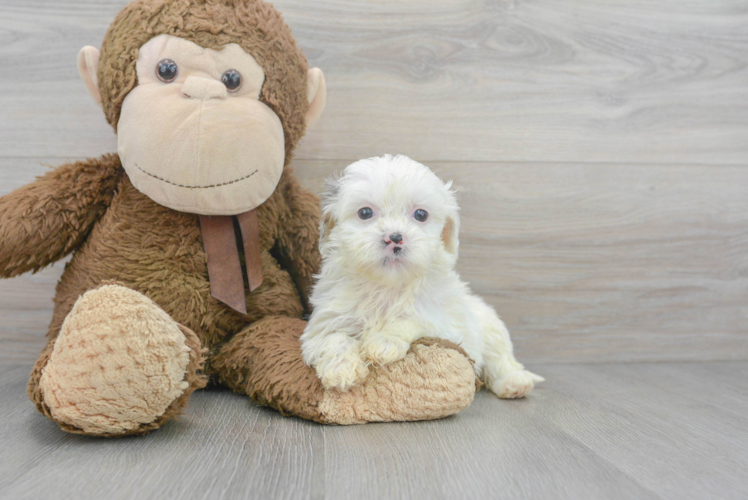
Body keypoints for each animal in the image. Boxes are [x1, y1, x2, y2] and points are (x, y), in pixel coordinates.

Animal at [300, 156, 544, 398]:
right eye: (365, 213)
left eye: (420, 215)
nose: (394, 237)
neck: (387, 285)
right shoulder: (327, 319)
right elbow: (332, 337)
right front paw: (341, 369)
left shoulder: (445, 326)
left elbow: (412, 318)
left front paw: (383, 342)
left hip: (490, 328)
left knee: (500, 359)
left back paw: (513, 383)